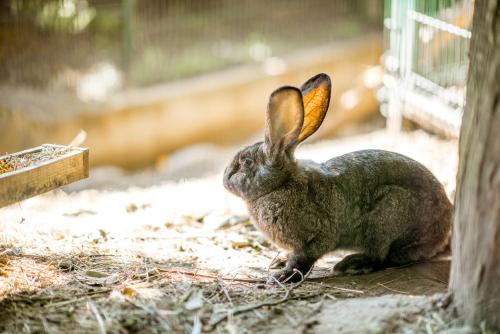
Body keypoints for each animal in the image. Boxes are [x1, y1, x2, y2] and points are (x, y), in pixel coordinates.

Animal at [223, 73, 454, 282]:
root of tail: (444, 227)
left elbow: (302, 260)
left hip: (388, 215)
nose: (225, 180)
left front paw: (283, 276)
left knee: (381, 257)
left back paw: (353, 264)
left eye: (246, 163)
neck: (281, 183)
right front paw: (280, 262)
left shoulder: (315, 237)